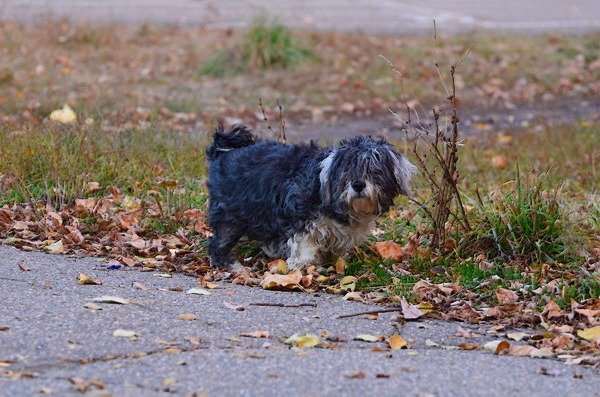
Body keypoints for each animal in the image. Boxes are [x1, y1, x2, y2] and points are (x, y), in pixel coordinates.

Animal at [204, 125, 414, 270]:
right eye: (346, 170)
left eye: (375, 170)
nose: (358, 184)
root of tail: (221, 152)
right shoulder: (302, 220)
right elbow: (304, 248)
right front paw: (299, 266)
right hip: (229, 215)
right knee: (217, 243)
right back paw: (230, 265)